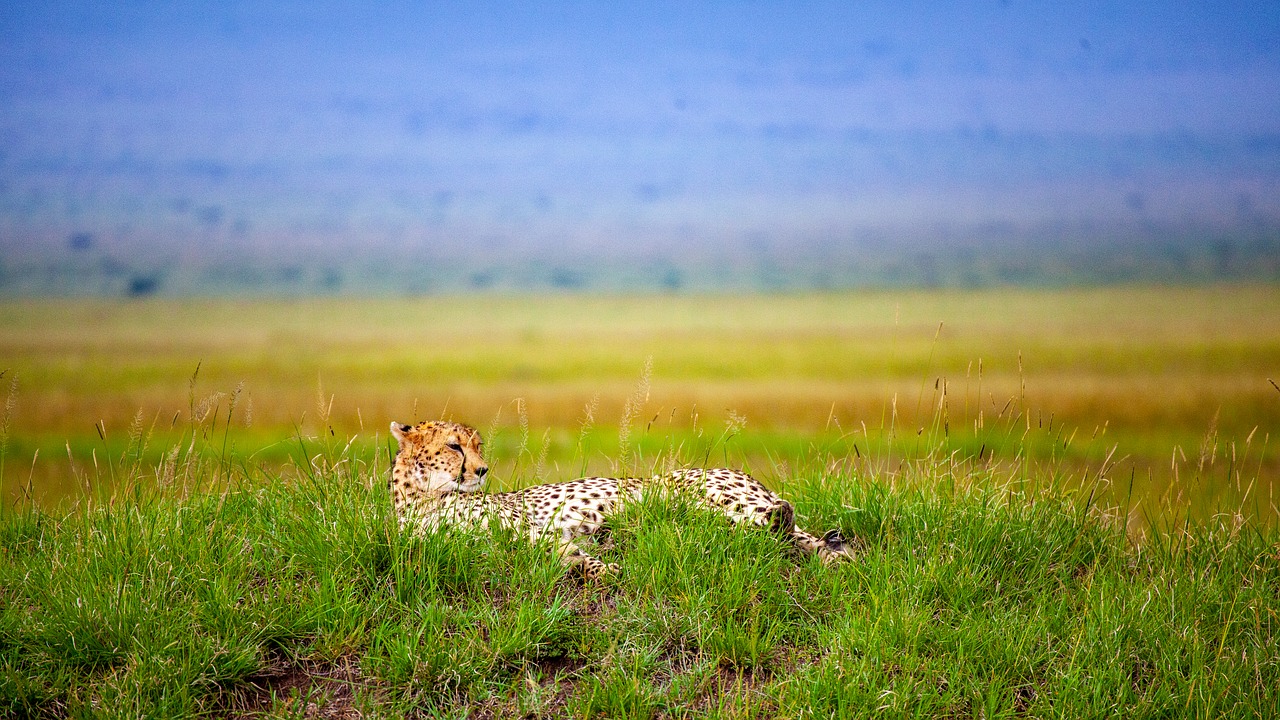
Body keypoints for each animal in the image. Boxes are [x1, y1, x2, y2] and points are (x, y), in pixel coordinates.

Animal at [384, 420, 855, 576]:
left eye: (477, 446)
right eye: (454, 446)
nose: (481, 470)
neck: (422, 499)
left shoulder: (528, 529)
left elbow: (565, 552)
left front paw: (609, 567)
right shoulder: (499, 544)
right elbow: (567, 558)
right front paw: (604, 566)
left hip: (693, 492)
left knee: (769, 523)